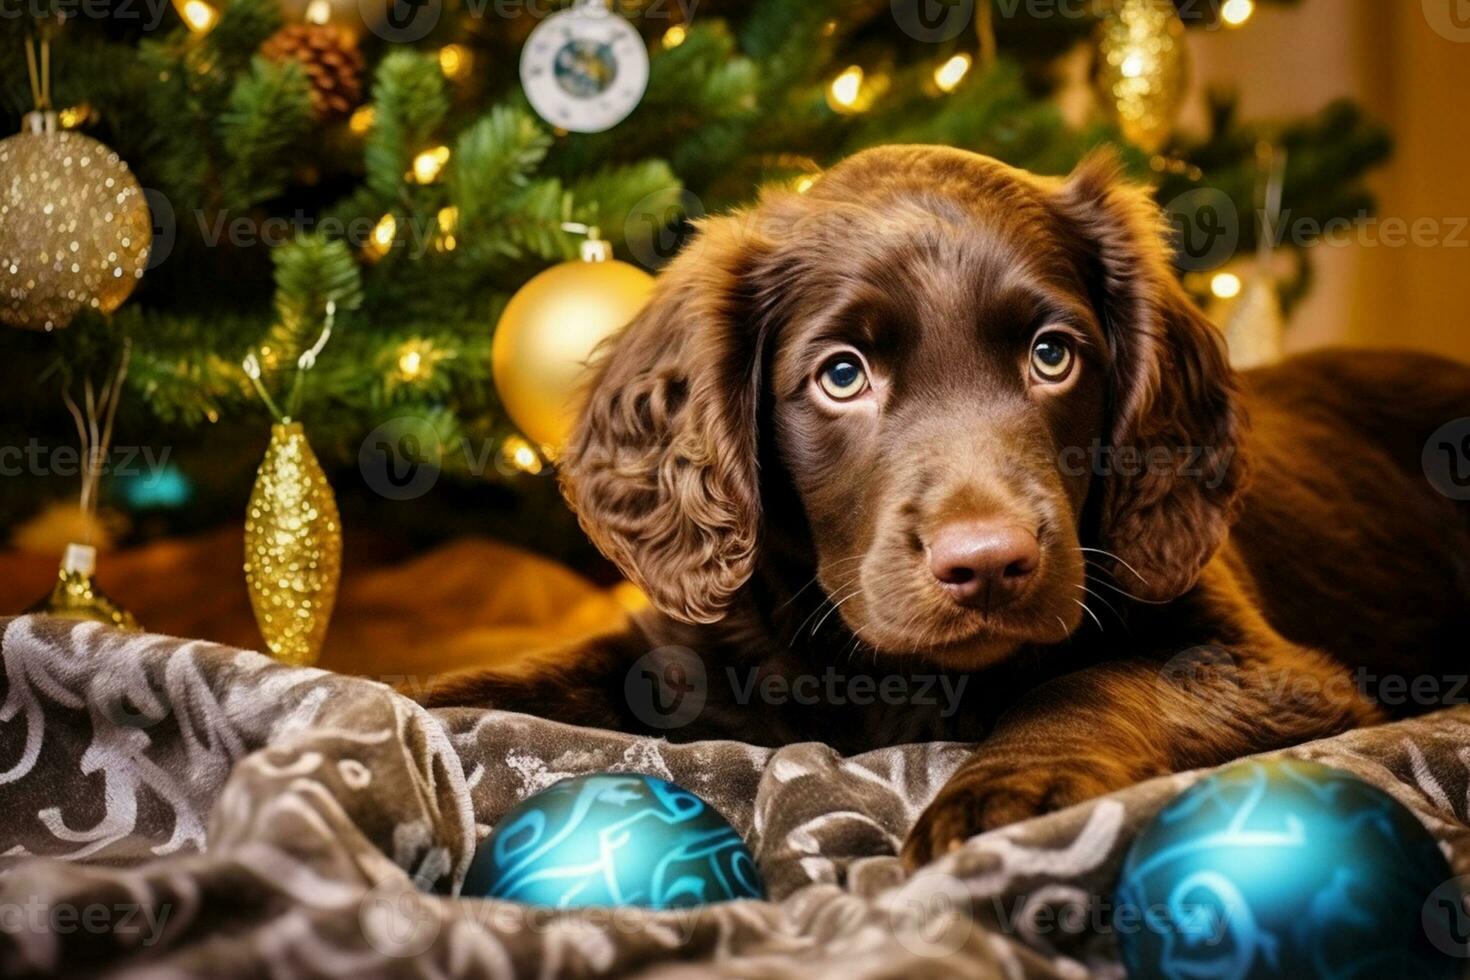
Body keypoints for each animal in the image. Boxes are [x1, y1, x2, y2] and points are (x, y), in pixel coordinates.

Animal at [423, 143, 1470, 863]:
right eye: (842, 375)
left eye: (1053, 355)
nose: (990, 563)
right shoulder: (699, 651)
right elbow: (533, 678)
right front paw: (411, 701)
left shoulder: (1269, 669)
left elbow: (1094, 678)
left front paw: (1010, 789)